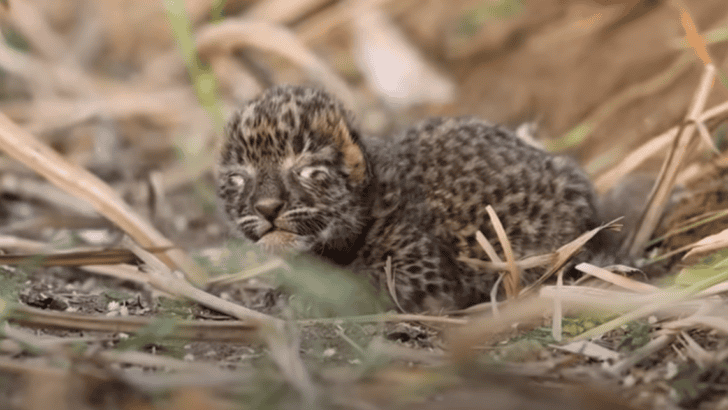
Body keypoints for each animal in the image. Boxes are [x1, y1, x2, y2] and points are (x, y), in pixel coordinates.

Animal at [217, 85, 601, 313]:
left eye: (308, 171)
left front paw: (301, 298)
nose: (267, 208)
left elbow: (361, 280)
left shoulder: (423, 272)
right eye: (238, 178)